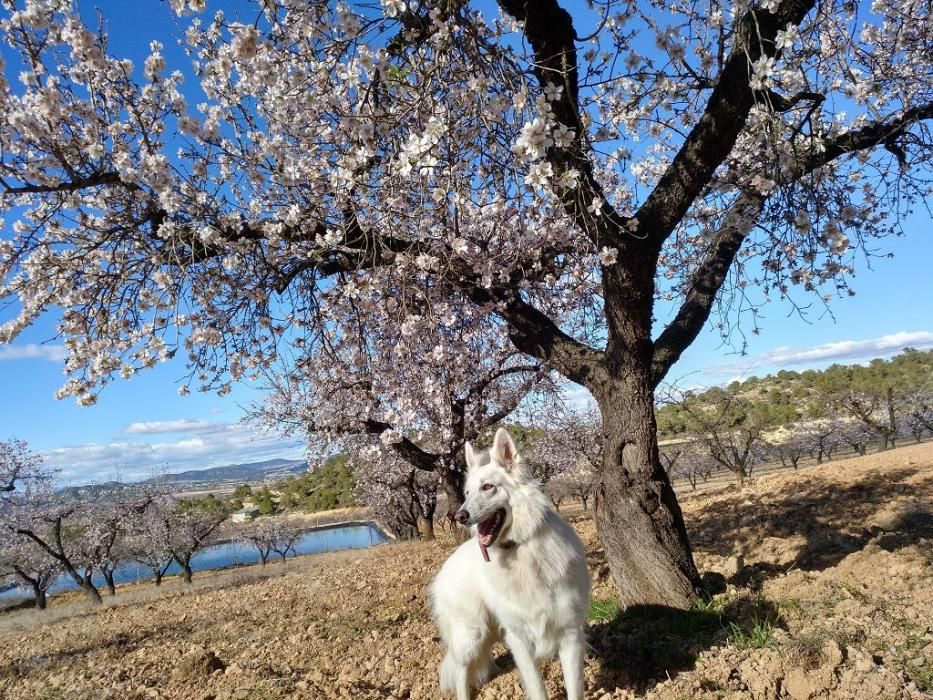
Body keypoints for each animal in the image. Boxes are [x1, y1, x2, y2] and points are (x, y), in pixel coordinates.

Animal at [430, 426, 588, 700]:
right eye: (467, 493)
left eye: (488, 487)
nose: (459, 516)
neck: (520, 549)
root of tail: (447, 565)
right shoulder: (519, 638)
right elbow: (537, 689)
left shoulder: (570, 635)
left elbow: (574, 689)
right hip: (471, 633)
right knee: (461, 672)